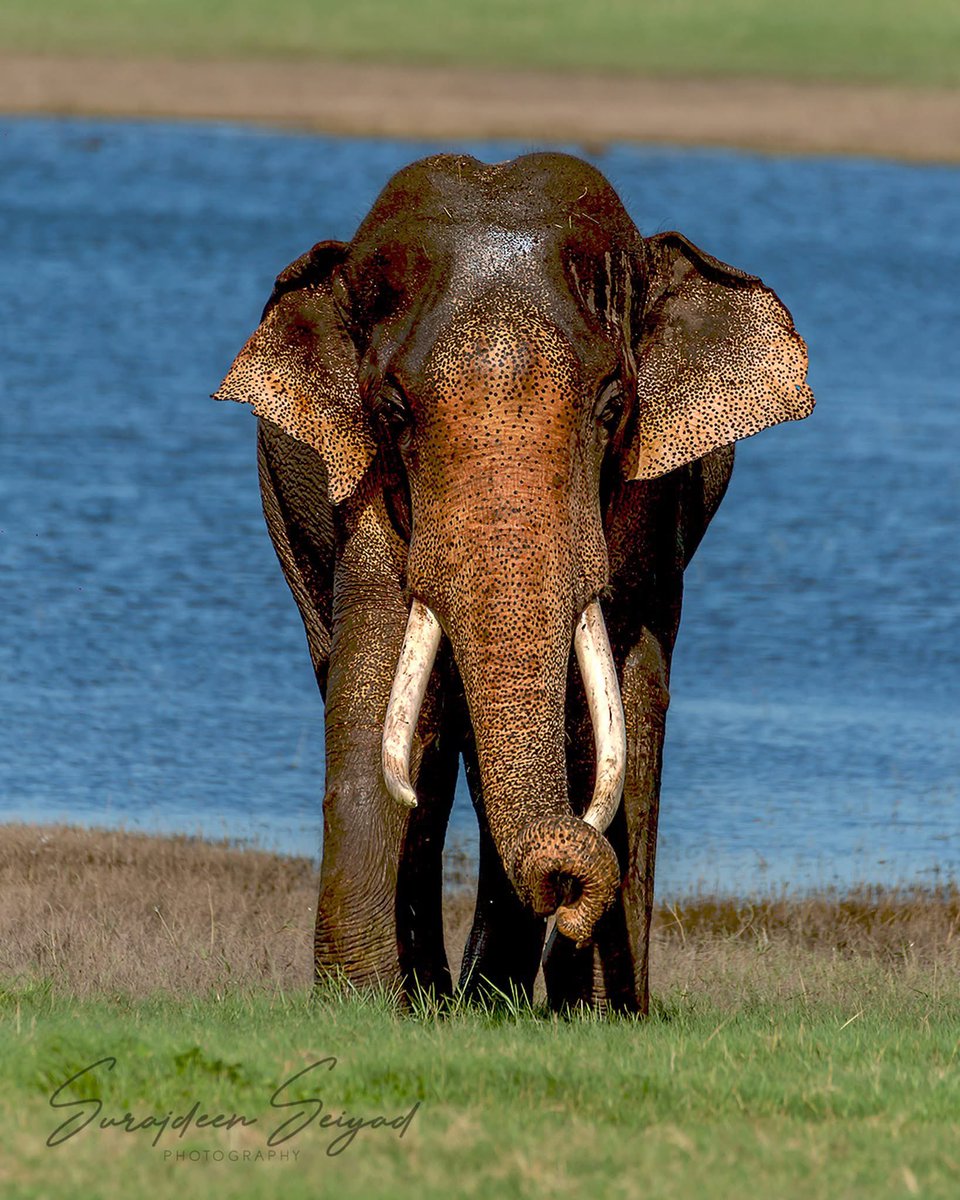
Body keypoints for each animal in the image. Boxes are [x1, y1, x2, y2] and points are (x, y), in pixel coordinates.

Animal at [214, 151, 813, 1014]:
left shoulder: (649, 499)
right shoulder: (360, 481)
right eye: (393, 409)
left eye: (612, 405)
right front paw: (360, 1005)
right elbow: (378, 678)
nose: (566, 890)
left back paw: (480, 999)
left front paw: (599, 1015)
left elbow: (620, 697)